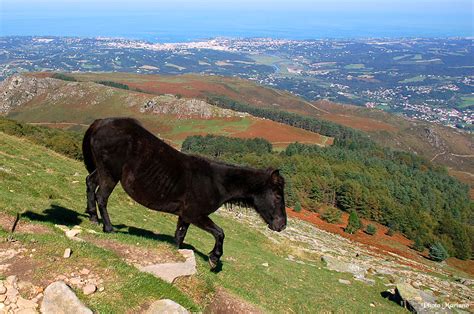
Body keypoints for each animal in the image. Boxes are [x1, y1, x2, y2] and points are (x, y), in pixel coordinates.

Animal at [82, 116, 286, 268]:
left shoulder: (185, 216)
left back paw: (93, 217)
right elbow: (220, 232)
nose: (282, 225)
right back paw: (109, 228)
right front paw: (214, 258)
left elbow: (179, 236)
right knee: (102, 197)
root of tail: (101, 122)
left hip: (102, 170)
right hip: (110, 173)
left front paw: (176, 254)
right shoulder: (195, 214)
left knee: (90, 183)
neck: (215, 182)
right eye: (277, 195)